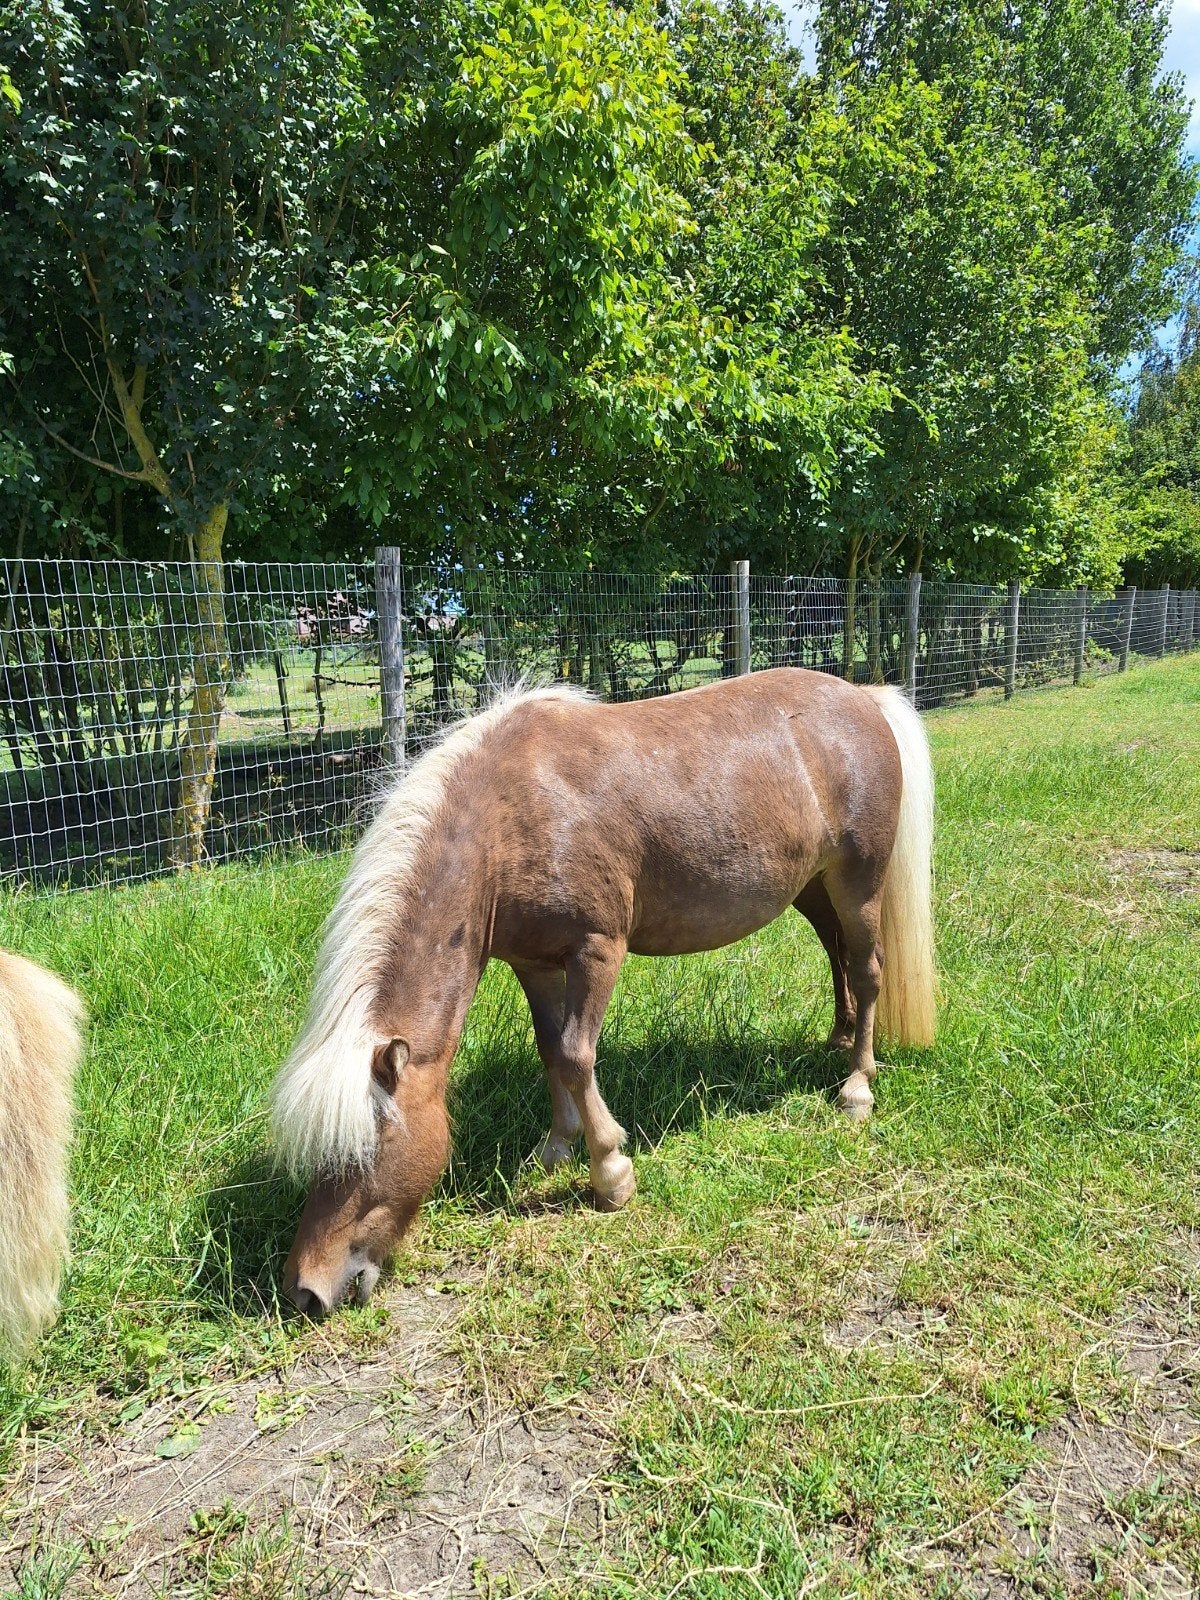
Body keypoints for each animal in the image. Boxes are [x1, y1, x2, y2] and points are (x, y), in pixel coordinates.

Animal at [272, 669, 935, 1316]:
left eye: (364, 1154)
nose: (306, 1291)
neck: (509, 816)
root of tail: (865, 699)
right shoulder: (534, 963)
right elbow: (549, 1051)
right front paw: (556, 1148)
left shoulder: (597, 949)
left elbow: (574, 1054)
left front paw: (610, 1172)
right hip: (813, 887)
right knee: (835, 953)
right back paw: (837, 1040)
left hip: (859, 880)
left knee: (867, 970)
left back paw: (857, 1086)